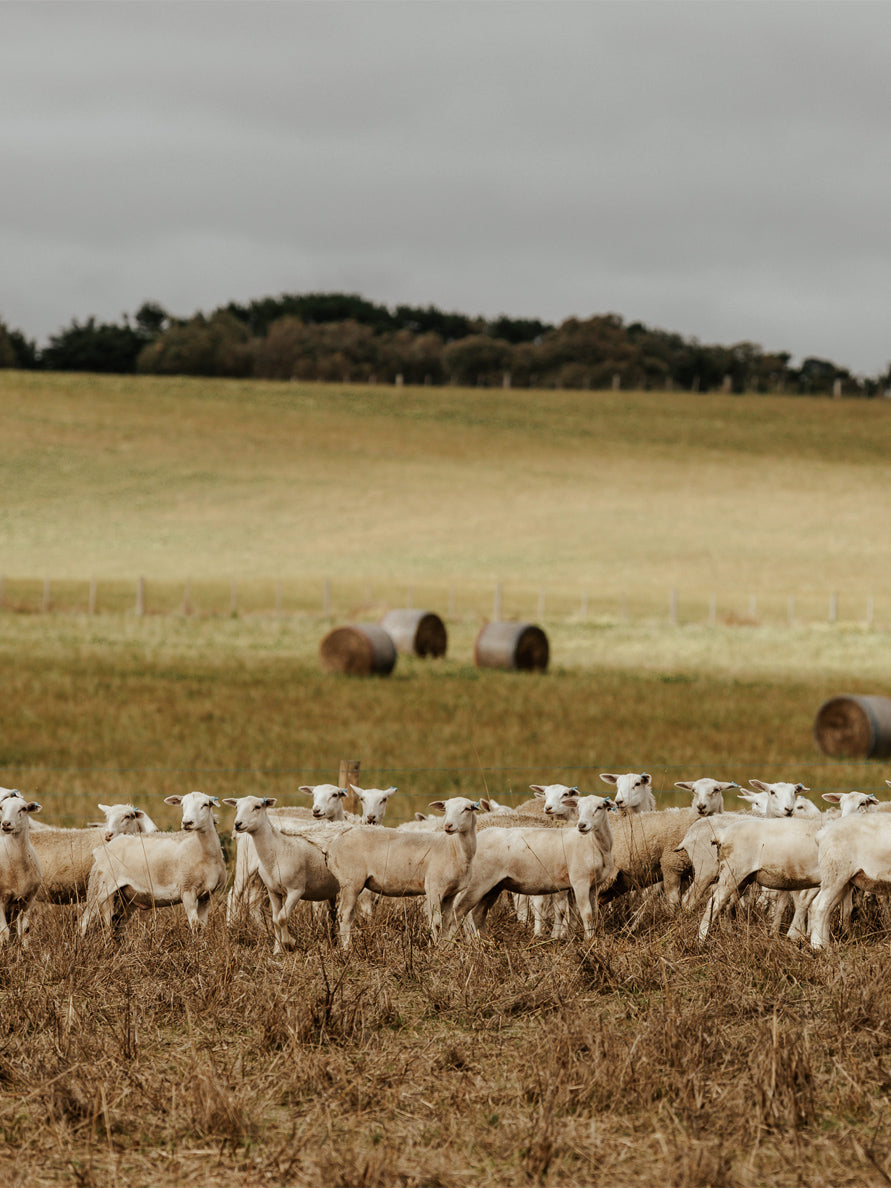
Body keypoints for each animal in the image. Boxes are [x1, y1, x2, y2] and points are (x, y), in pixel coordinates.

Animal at [0, 788, 42, 945]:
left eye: (23, 809)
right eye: (1, 808)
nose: (6, 823)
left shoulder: (28, 899)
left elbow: (24, 931)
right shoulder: (0, 900)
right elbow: (4, 933)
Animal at [79, 788, 226, 936]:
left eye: (205, 805)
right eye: (183, 805)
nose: (187, 823)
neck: (204, 851)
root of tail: (101, 849)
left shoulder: (207, 895)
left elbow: (202, 926)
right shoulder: (187, 890)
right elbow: (195, 925)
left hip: (126, 897)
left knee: (116, 923)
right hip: (99, 887)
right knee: (85, 920)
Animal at [222, 798, 342, 955]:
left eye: (257, 807)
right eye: (236, 807)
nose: (238, 823)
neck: (278, 849)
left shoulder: (296, 890)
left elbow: (282, 917)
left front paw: (289, 943)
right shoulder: (273, 891)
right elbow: (275, 920)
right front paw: (278, 949)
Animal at [453, 793, 622, 940]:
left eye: (599, 807)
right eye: (578, 807)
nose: (582, 825)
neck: (594, 844)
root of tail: (479, 836)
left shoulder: (592, 885)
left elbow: (586, 913)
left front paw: (573, 938)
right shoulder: (580, 882)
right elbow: (586, 913)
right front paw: (589, 941)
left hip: (494, 886)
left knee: (478, 913)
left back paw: (485, 942)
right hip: (477, 882)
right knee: (459, 910)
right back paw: (462, 943)